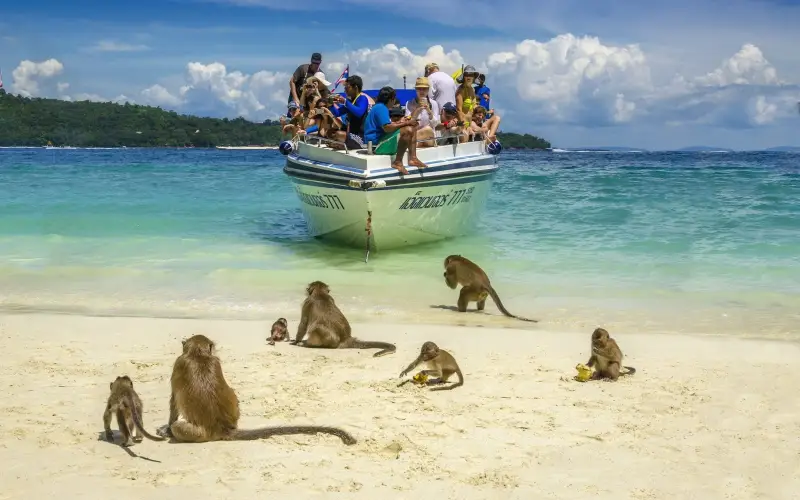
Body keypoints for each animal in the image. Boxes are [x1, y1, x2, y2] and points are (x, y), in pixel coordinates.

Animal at [157, 334, 356, 445]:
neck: (198, 354)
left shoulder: (178, 364)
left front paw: (167, 429)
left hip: (197, 433)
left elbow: (173, 403)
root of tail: (222, 429)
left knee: (178, 426)